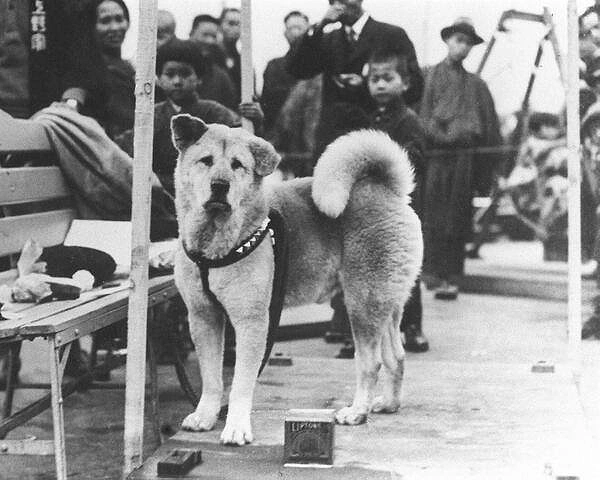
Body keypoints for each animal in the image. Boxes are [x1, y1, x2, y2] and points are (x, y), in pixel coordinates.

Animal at [171, 114, 424, 444]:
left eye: (238, 164)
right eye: (206, 160)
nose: (219, 185)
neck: (215, 245)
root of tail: (387, 190)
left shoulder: (252, 322)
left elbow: (240, 382)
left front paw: (236, 427)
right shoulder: (203, 317)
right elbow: (211, 378)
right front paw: (205, 416)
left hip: (362, 304)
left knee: (371, 363)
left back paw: (356, 412)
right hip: (386, 304)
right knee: (396, 356)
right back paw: (389, 403)